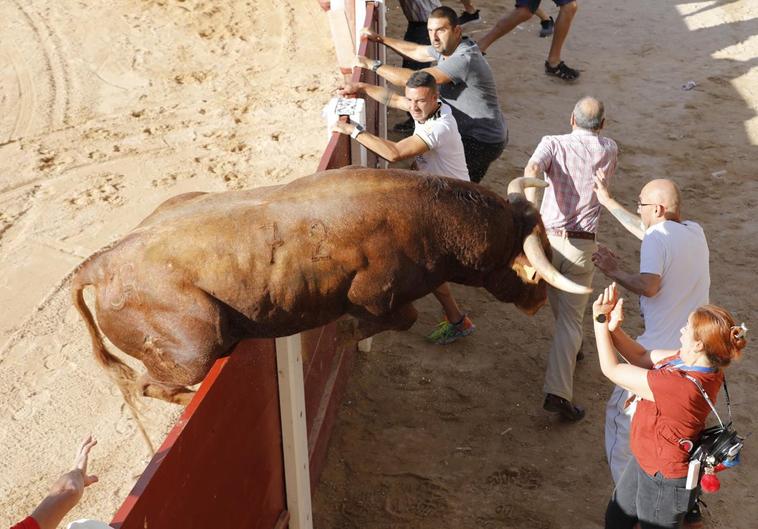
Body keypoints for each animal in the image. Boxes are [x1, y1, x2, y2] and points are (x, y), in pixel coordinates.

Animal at [72, 167, 588, 406]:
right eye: (533, 268)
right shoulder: (373, 294)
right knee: (149, 382)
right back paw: (185, 400)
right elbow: (402, 316)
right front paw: (345, 335)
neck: (430, 218)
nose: (538, 300)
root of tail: (101, 262)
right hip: (196, 345)